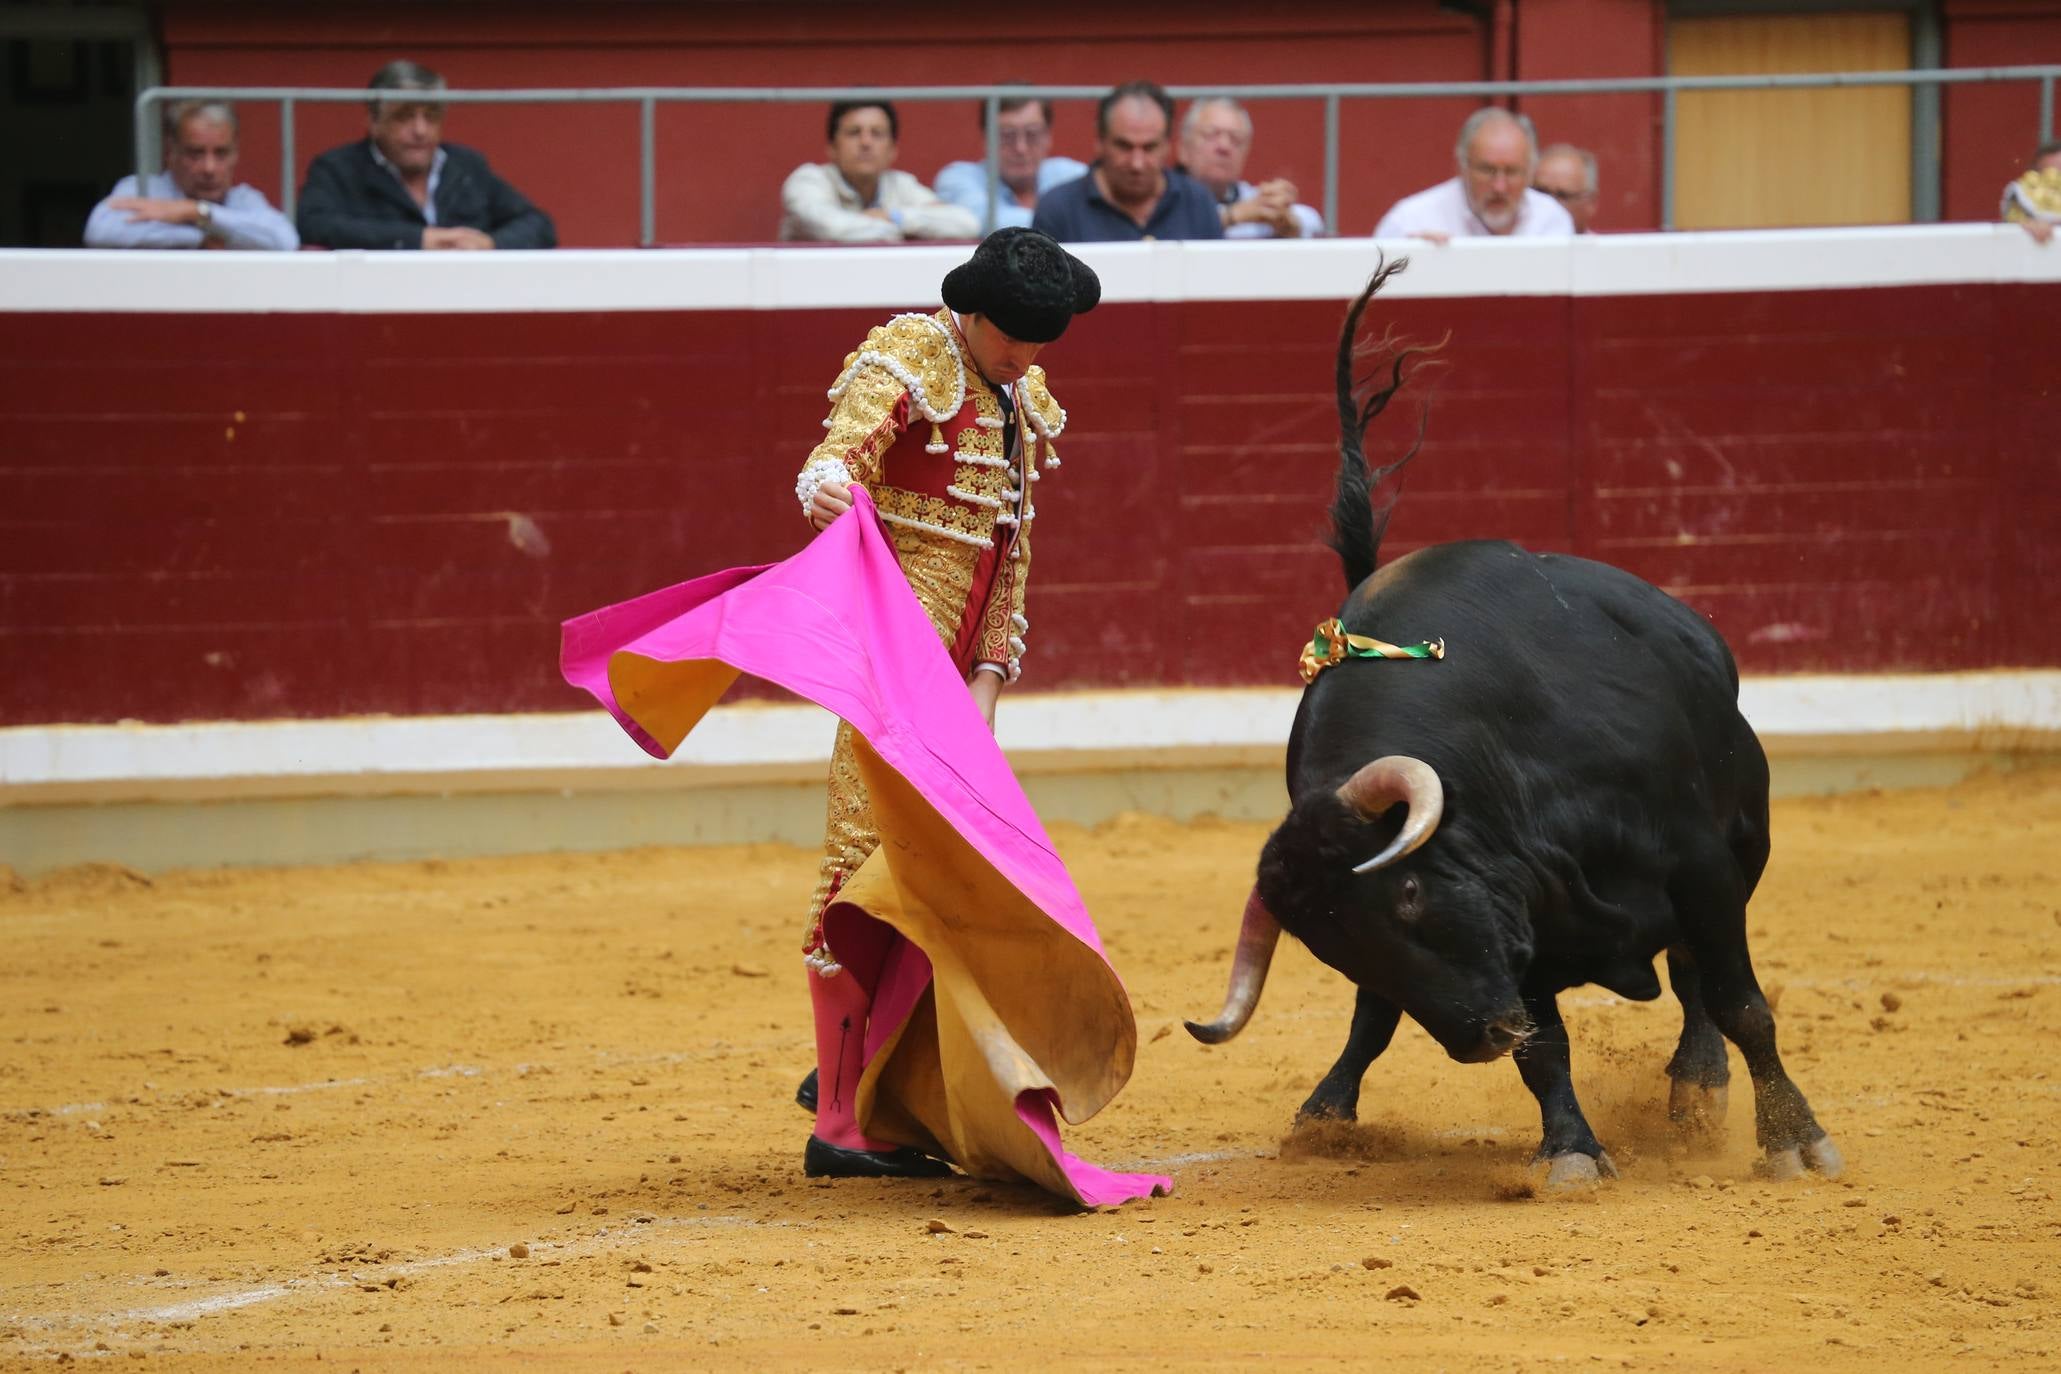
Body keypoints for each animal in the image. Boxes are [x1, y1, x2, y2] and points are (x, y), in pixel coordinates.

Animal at [1187, 263, 1846, 1186]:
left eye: (1409, 892)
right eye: (1328, 946)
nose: (1479, 1038)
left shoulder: (1701, 868)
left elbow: (1738, 1001)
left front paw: (1791, 1137)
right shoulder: (1518, 916)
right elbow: (1542, 1047)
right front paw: (1570, 1149)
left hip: (1741, 847)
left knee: (1693, 982)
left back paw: (1695, 1088)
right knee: (1376, 1022)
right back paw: (1325, 1116)